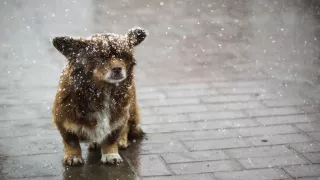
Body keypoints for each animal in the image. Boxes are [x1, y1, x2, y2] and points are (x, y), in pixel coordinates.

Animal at [51, 27, 146, 166]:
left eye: (123, 56)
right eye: (101, 57)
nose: (117, 68)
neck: (102, 90)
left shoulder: (118, 117)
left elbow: (111, 138)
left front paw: (111, 154)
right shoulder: (63, 119)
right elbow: (71, 141)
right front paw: (73, 156)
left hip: (130, 109)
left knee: (127, 127)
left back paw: (121, 140)